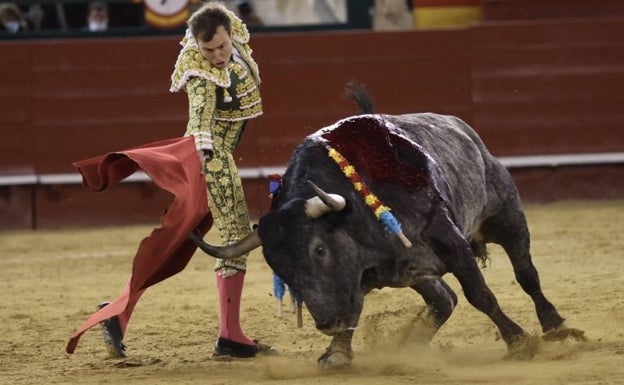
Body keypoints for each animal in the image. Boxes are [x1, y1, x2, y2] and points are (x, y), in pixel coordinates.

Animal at [189, 82, 580, 366]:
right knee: (444, 299)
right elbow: (356, 305)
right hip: (415, 269)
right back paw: (411, 343)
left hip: (507, 217)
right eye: (279, 270)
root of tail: (462, 128)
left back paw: (555, 326)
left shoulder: (451, 241)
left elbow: (480, 294)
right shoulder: (364, 274)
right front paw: (337, 351)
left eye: (319, 250)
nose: (327, 323)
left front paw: (519, 340)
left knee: (526, 275)